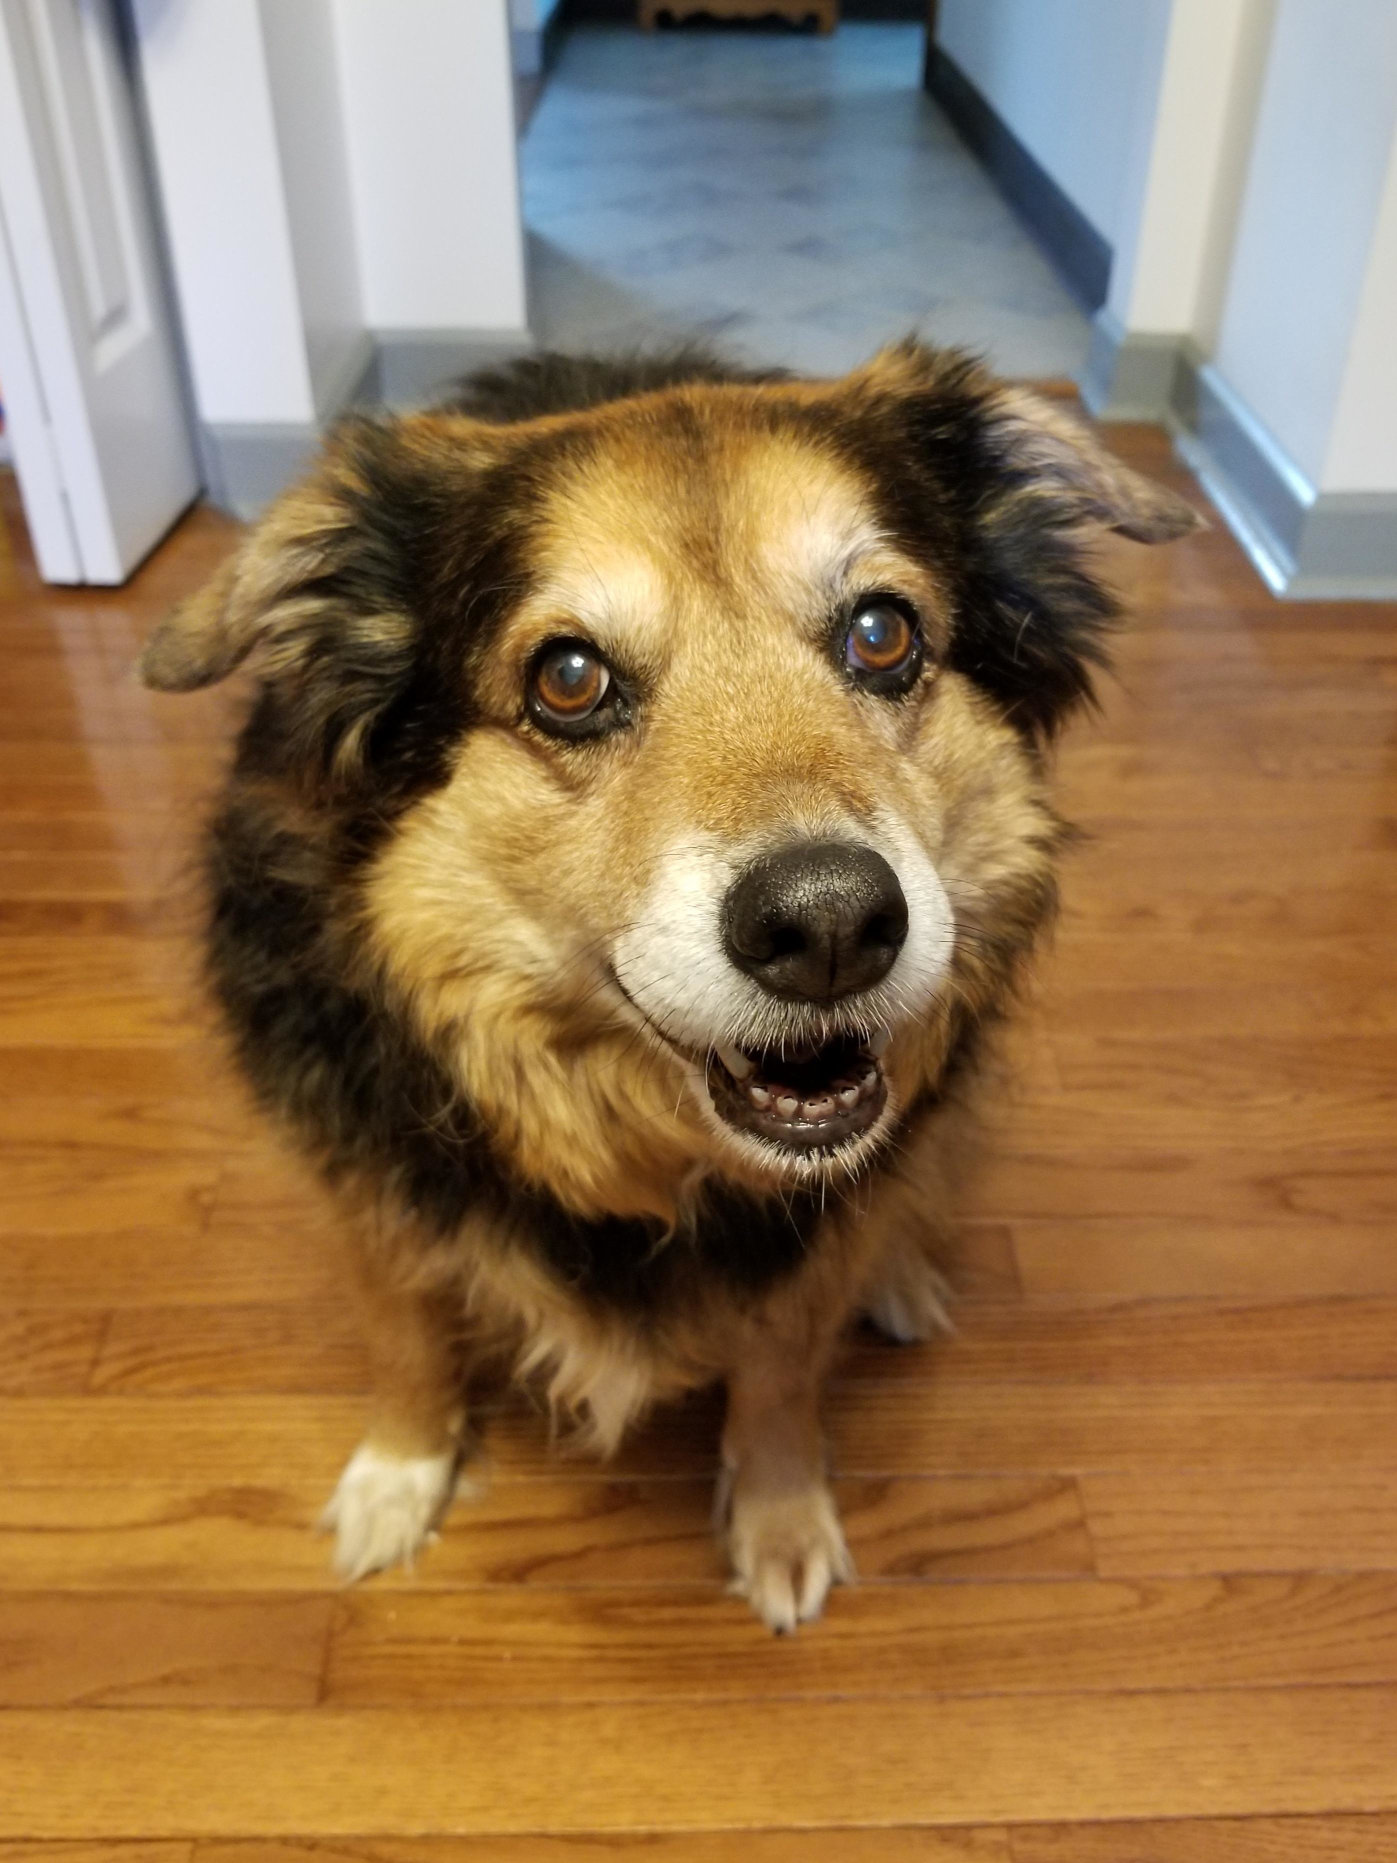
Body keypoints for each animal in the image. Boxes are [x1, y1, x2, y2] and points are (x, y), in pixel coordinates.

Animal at [136, 342, 1199, 1624]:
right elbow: (406, 1337)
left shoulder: (803, 1246)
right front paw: (400, 1471)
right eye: (568, 677)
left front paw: (779, 1512)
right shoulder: (369, 1179)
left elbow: (781, 1371)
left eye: (881, 634)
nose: (831, 924)